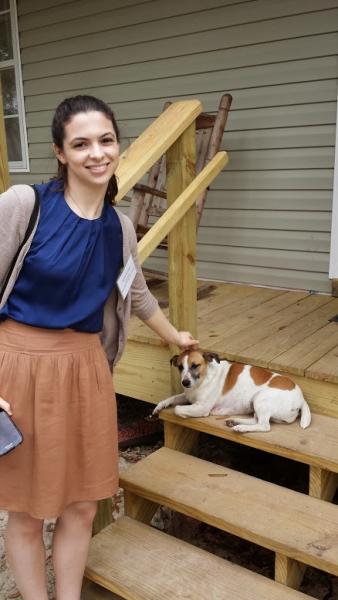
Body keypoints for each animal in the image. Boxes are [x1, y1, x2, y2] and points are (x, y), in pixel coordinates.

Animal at [152, 352, 310, 432]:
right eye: (180, 367)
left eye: (195, 365)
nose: (185, 383)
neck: (204, 377)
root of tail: (302, 399)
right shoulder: (187, 396)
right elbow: (172, 398)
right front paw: (161, 405)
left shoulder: (201, 407)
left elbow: (178, 409)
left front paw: (183, 414)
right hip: (256, 404)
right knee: (256, 419)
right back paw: (234, 421)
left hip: (261, 399)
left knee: (264, 425)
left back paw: (241, 428)